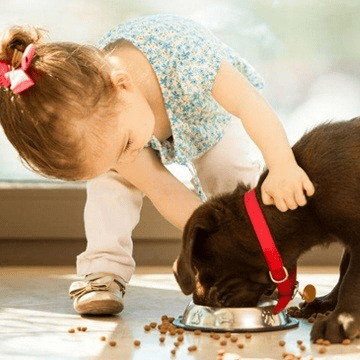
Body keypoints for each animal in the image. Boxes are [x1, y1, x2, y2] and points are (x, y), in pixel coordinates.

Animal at [173, 118, 360, 344]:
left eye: (200, 264)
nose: (198, 299)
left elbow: (351, 279)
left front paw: (341, 320)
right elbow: (343, 270)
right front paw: (326, 303)